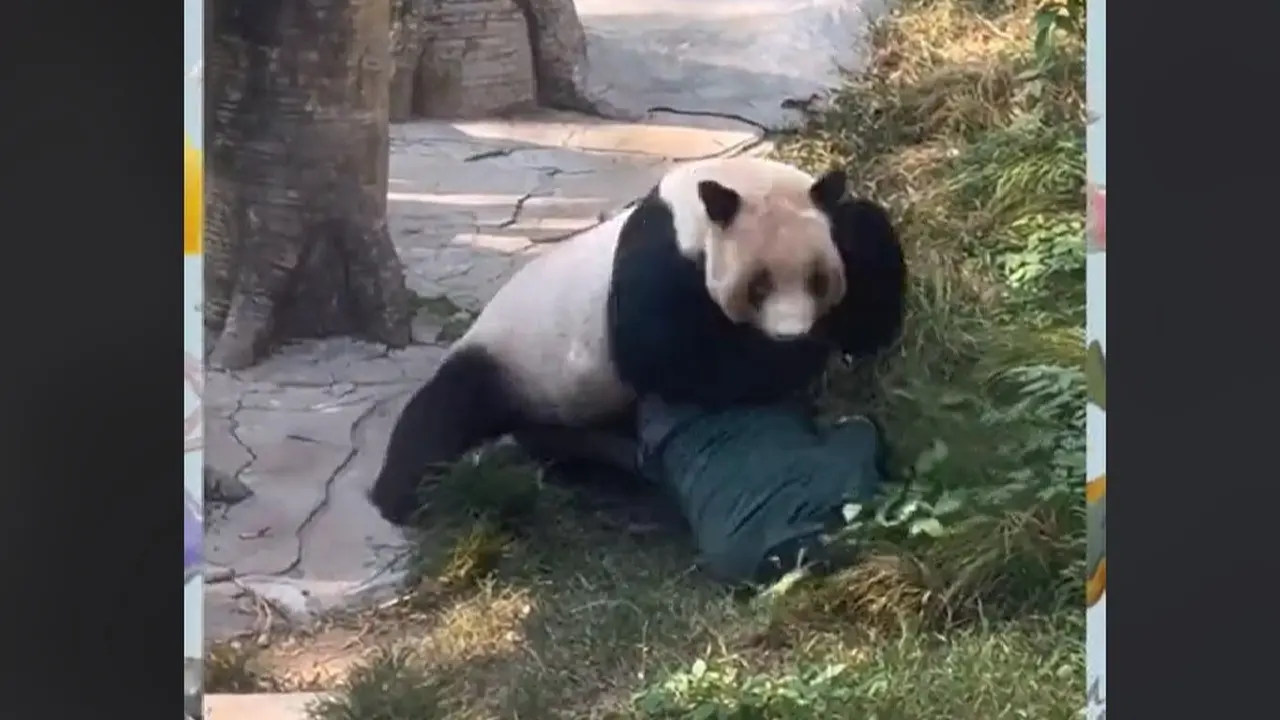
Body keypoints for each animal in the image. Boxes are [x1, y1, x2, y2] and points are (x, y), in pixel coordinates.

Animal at [368, 156, 906, 526]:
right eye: (757, 287)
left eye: (817, 280)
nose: (790, 331)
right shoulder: (660, 258)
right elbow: (664, 353)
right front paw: (797, 357)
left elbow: (866, 238)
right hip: (509, 351)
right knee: (443, 410)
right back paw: (405, 498)